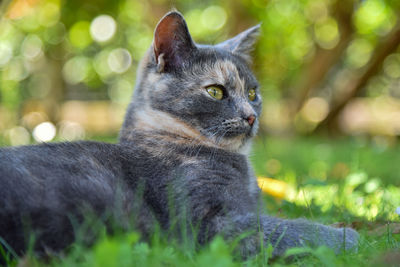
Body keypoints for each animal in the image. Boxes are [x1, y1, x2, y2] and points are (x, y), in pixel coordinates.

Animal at [0, 10, 360, 262]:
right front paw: (347, 237)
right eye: (215, 91)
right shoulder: (209, 224)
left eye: (253, 92)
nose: (251, 115)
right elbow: (287, 229)